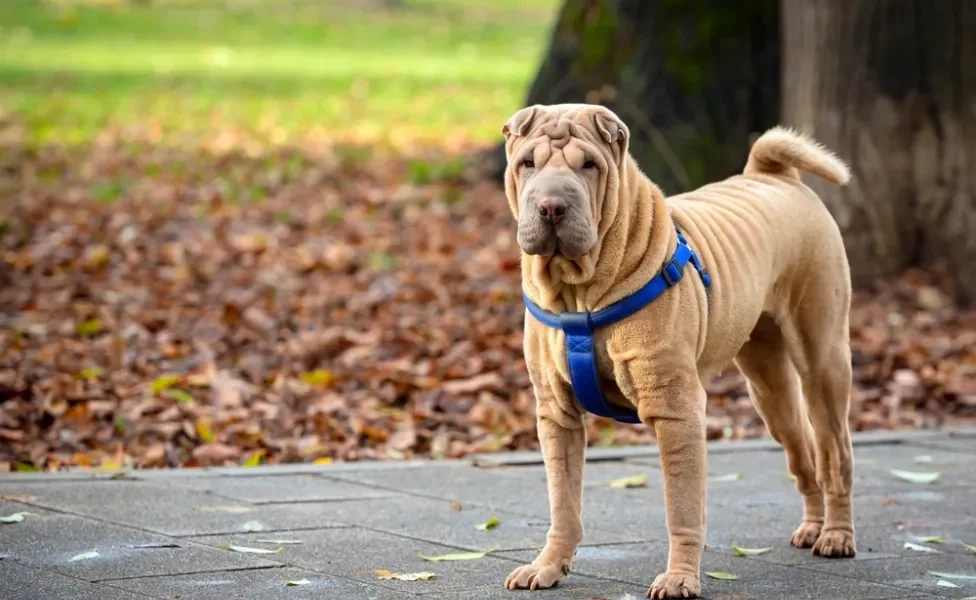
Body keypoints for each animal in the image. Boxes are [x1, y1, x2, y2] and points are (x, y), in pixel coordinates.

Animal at [500, 103, 856, 596]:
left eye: (588, 165)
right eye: (527, 164)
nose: (551, 206)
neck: (580, 293)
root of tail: (773, 175)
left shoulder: (675, 411)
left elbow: (682, 507)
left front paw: (679, 577)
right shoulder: (557, 414)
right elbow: (563, 501)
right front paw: (548, 566)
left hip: (822, 358)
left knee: (835, 451)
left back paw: (837, 535)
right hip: (769, 388)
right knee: (802, 447)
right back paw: (813, 527)